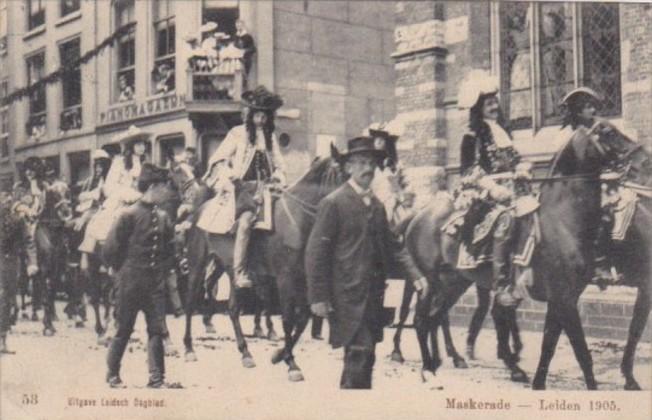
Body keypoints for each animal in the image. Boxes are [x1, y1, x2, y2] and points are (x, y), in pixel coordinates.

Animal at [171, 148, 348, 380]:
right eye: (342, 174)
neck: (298, 219)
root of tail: (199, 210)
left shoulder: (304, 279)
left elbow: (303, 318)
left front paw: (279, 355)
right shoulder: (284, 278)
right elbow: (288, 318)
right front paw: (292, 364)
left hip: (230, 268)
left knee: (233, 308)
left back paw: (245, 353)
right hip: (197, 265)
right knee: (192, 303)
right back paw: (189, 348)